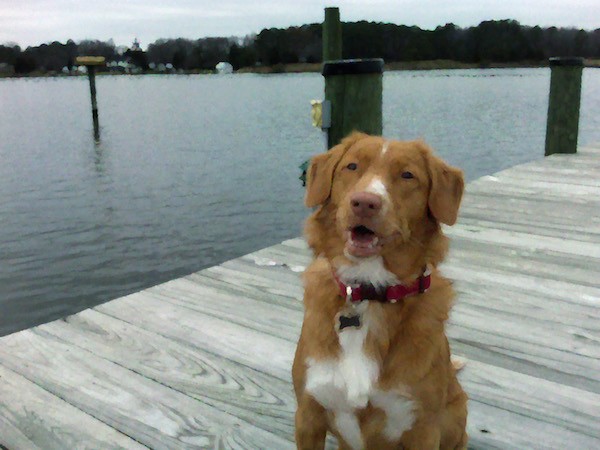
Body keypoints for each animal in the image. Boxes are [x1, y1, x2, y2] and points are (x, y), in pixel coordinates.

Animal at [292, 132, 466, 448]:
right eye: (351, 166)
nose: (364, 202)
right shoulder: (308, 414)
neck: (368, 290)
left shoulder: (423, 427)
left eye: (407, 175)